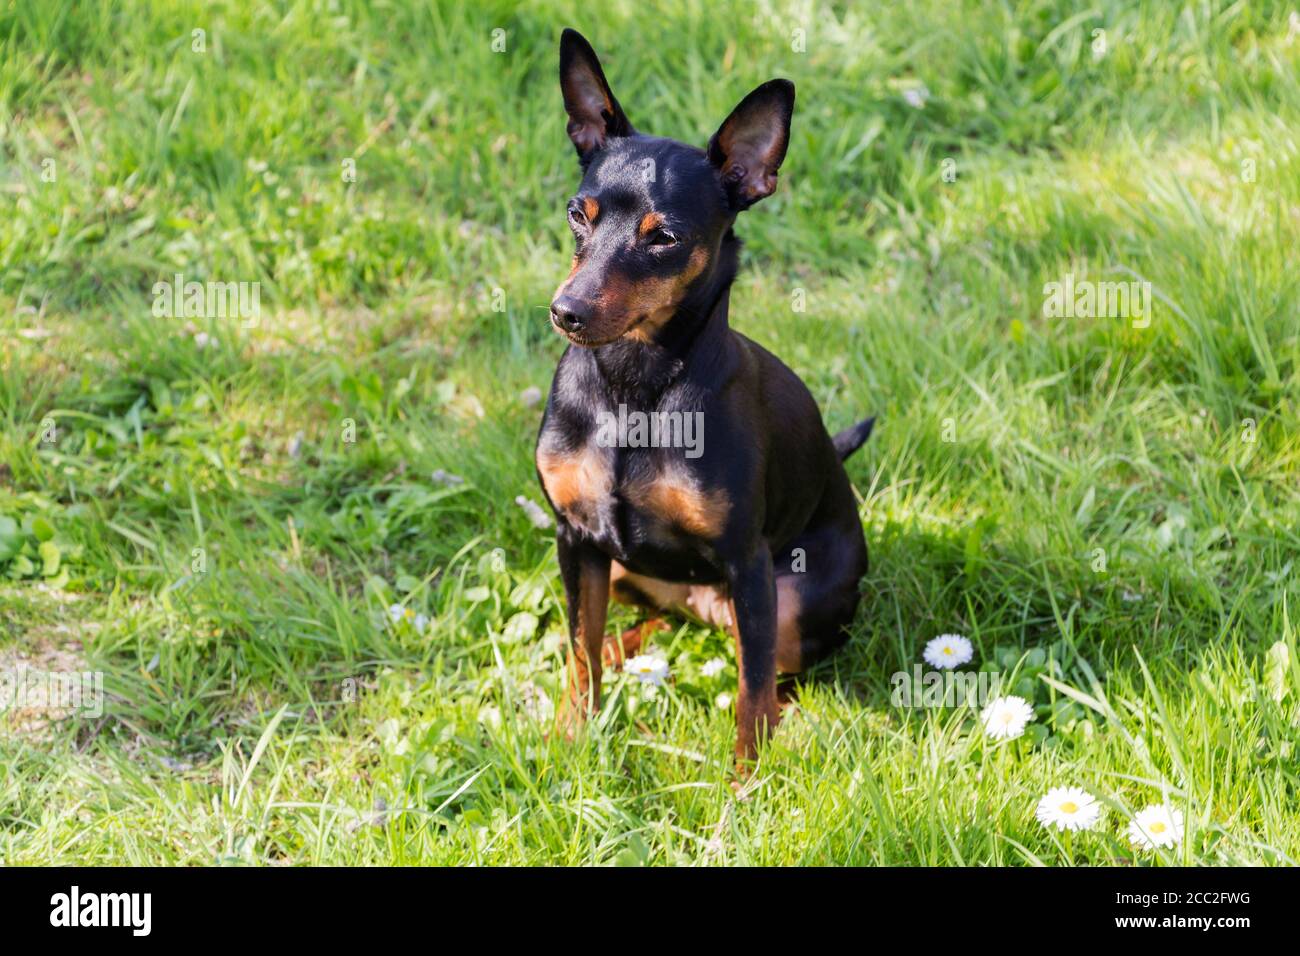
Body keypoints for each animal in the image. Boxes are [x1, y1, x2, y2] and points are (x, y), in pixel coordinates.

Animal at [527, 26, 873, 764]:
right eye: (577, 214)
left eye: (664, 237)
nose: (566, 311)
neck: (633, 385)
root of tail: (705, 608)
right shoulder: (577, 539)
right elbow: (579, 652)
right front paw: (573, 737)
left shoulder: (747, 564)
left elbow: (750, 696)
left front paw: (747, 782)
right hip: (624, 572)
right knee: (645, 629)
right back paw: (628, 655)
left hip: (786, 603)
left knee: (769, 668)